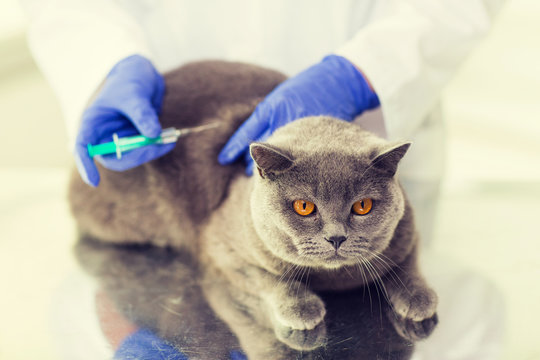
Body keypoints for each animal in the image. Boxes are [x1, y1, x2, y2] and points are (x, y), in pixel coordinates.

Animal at [68, 60, 438, 358]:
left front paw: (419, 298)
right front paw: (302, 307)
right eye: (304, 207)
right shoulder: (221, 250)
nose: (336, 238)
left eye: (362, 206)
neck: (333, 279)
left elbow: (408, 264)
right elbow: (270, 278)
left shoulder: (408, 231)